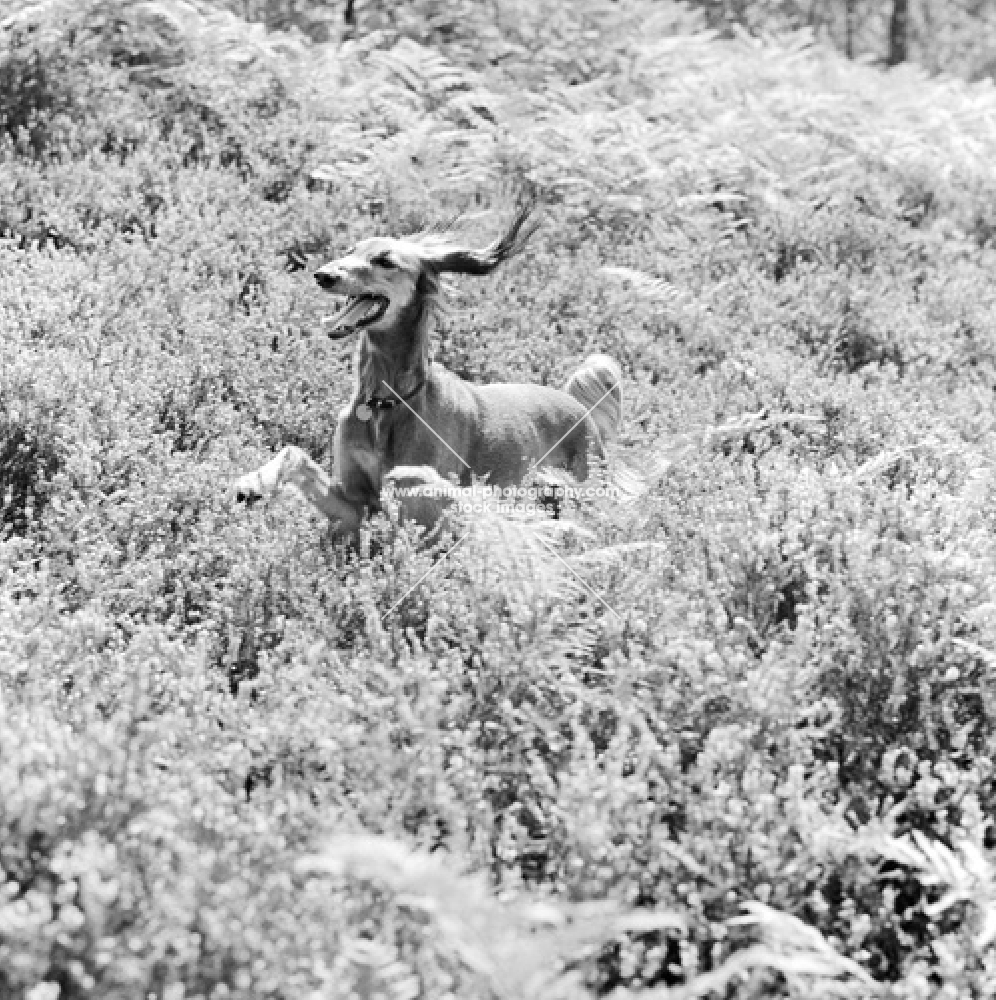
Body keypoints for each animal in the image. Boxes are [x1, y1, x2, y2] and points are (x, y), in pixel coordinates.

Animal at [235, 206, 624, 544]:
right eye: (349, 251)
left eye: (385, 260)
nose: (324, 275)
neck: (385, 401)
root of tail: (575, 405)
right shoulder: (357, 507)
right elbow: (293, 453)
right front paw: (253, 483)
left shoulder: (420, 512)